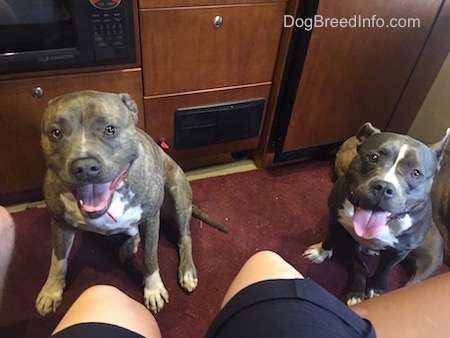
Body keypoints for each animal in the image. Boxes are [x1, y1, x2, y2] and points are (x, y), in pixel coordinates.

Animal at [35, 90, 227, 316]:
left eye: (110, 129)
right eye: (56, 133)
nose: (85, 167)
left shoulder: (152, 219)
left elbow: (150, 257)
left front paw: (153, 289)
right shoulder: (59, 222)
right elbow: (57, 261)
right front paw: (51, 291)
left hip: (178, 194)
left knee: (185, 237)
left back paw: (187, 272)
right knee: (134, 231)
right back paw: (129, 246)